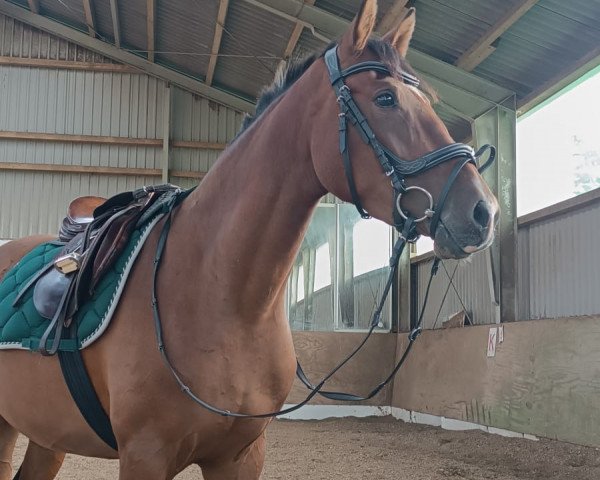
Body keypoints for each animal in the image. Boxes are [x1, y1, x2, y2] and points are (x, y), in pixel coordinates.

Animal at [0, 1, 496, 478]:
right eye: (386, 98)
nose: (484, 211)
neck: (218, 296)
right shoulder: (145, 456)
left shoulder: (240, 456)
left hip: (48, 435)